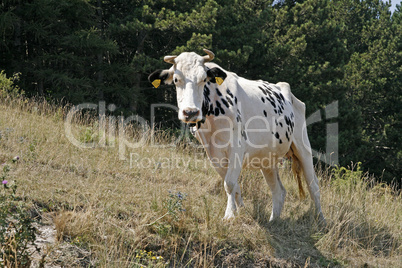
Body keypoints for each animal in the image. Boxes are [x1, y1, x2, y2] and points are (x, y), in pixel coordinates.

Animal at [149, 48, 326, 222]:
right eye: (176, 80)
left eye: (203, 79)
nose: (191, 112)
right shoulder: (212, 152)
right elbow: (233, 185)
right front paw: (240, 211)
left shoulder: (237, 147)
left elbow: (229, 183)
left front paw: (229, 214)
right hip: (267, 158)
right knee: (278, 190)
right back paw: (273, 221)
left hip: (302, 146)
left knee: (313, 185)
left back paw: (320, 220)